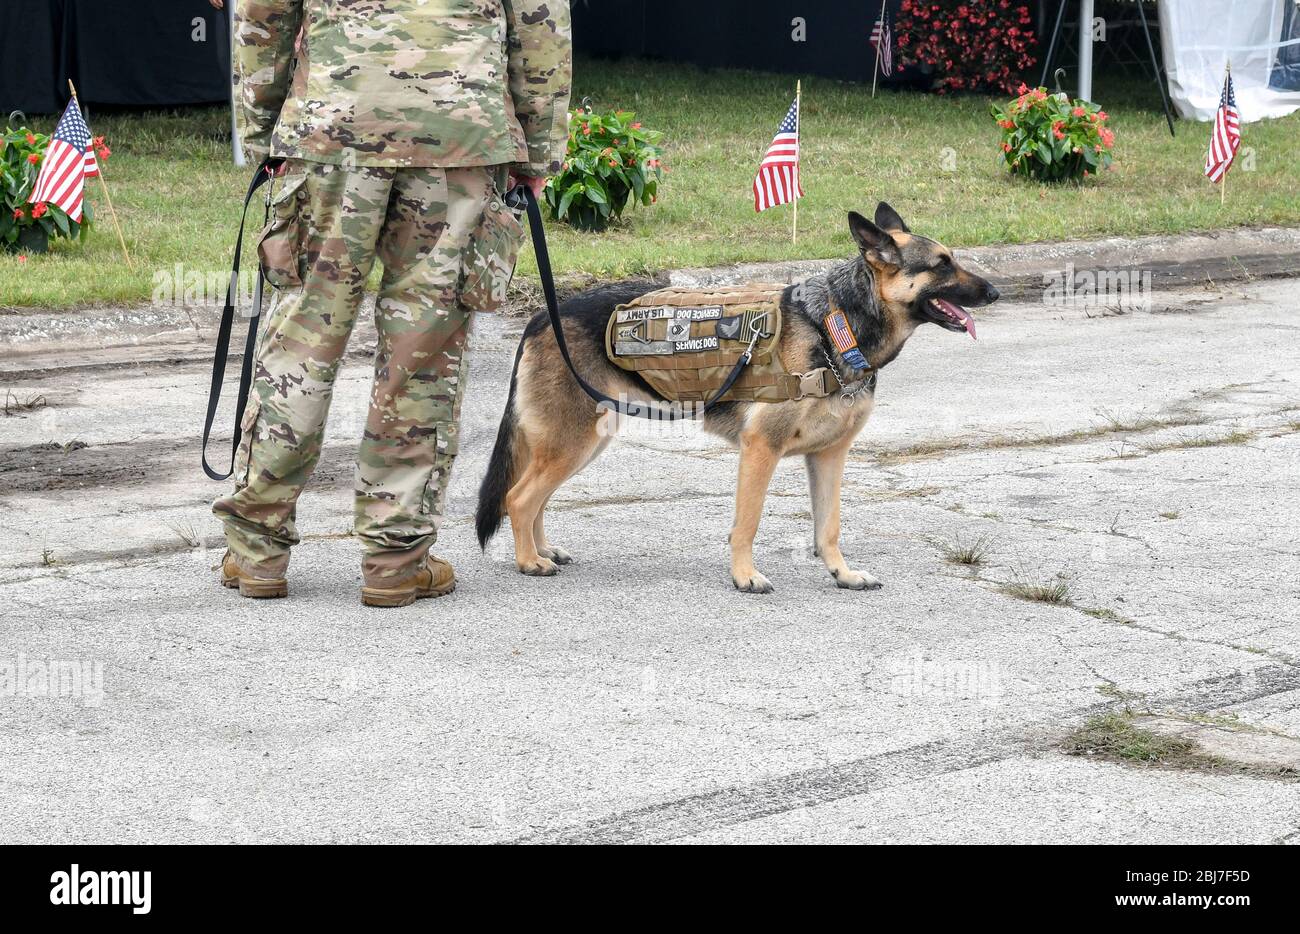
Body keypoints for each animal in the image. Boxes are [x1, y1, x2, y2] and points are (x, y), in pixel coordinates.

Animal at [473, 206, 998, 593]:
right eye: (942, 265)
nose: (994, 291)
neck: (836, 324)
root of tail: (543, 314)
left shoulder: (830, 456)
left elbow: (828, 526)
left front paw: (842, 573)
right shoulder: (761, 449)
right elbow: (747, 522)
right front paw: (745, 576)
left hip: (579, 441)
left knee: (536, 497)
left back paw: (542, 550)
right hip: (572, 441)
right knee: (520, 497)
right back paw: (529, 562)